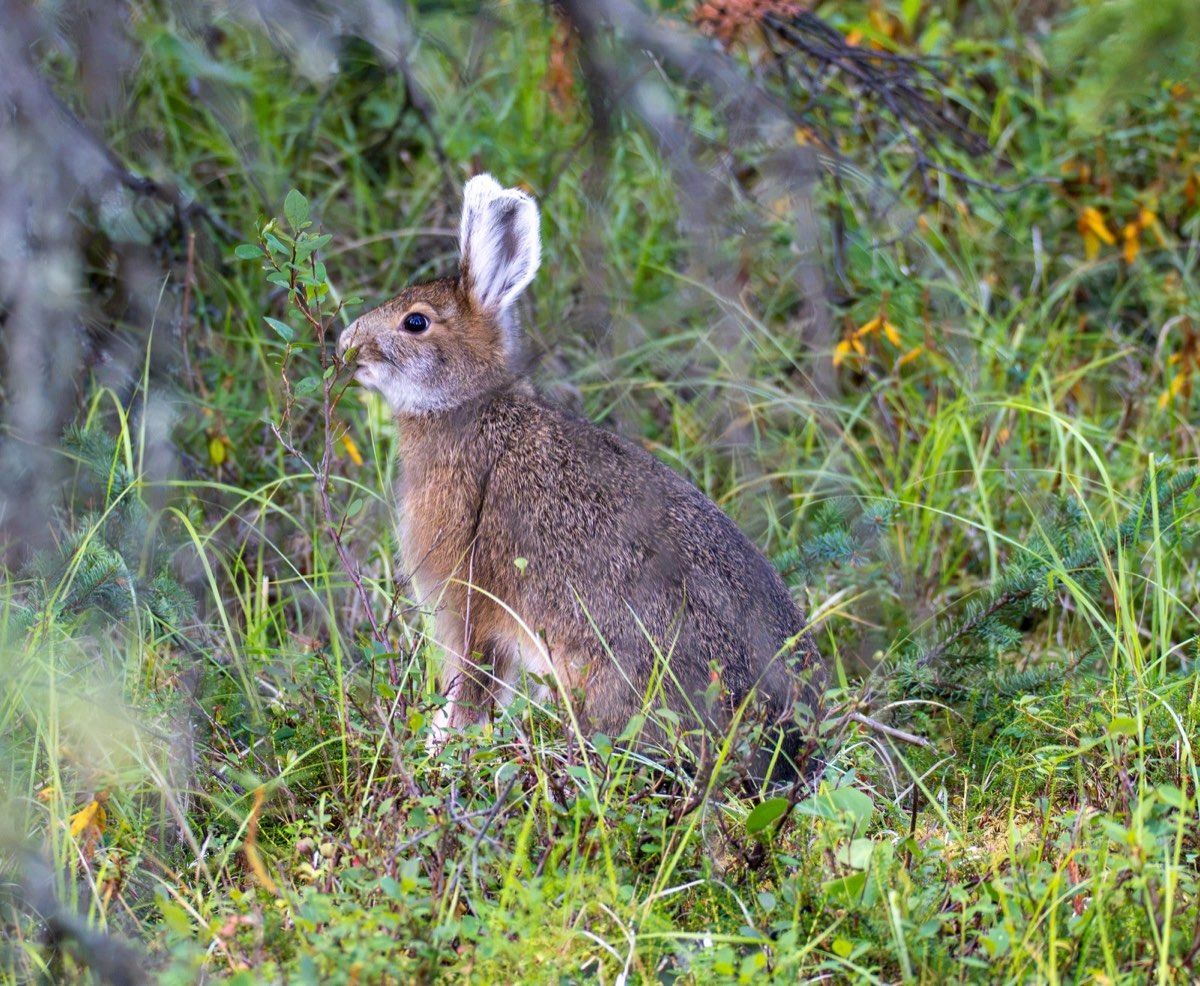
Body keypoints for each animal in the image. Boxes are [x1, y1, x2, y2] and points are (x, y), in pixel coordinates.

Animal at [337, 174, 823, 777]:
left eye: (416, 322)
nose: (346, 345)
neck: (472, 406)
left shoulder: (468, 609)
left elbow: (468, 692)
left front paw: (439, 758)